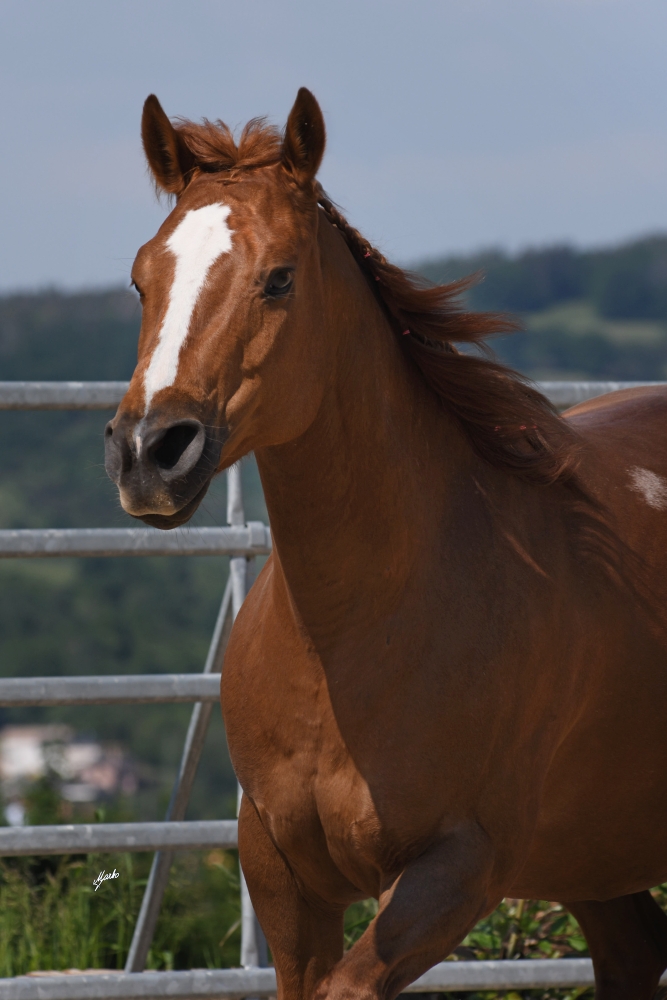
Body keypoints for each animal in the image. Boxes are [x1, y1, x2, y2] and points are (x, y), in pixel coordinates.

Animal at [105, 90, 667, 996]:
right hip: (594, 856)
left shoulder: (455, 869)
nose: (150, 453)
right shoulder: (281, 873)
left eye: (279, 277)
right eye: (140, 278)